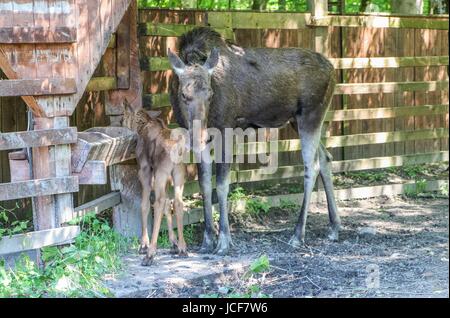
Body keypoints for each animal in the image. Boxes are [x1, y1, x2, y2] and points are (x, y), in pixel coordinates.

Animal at [122, 99, 187, 266]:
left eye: (124, 116)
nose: (122, 123)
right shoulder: (168, 178)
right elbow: (168, 206)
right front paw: (173, 243)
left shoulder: (145, 170)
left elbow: (144, 205)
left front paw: (143, 244)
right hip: (178, 174)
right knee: (177, 202)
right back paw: (183, 247)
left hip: (160, 173)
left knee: (158, 202)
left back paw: (150, 253)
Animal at [169, 28, 342, 256]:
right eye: (183, 94)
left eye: (210, 94)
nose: (200, 136)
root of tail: (334, 71)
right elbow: (204, 183)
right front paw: (207, 239)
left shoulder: (226, 129)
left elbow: (222, 185)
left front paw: (223, 240)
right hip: (296, 120)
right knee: (325, 157)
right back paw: (334, 227)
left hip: (311, 115)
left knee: (311, 166)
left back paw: (298, 235)